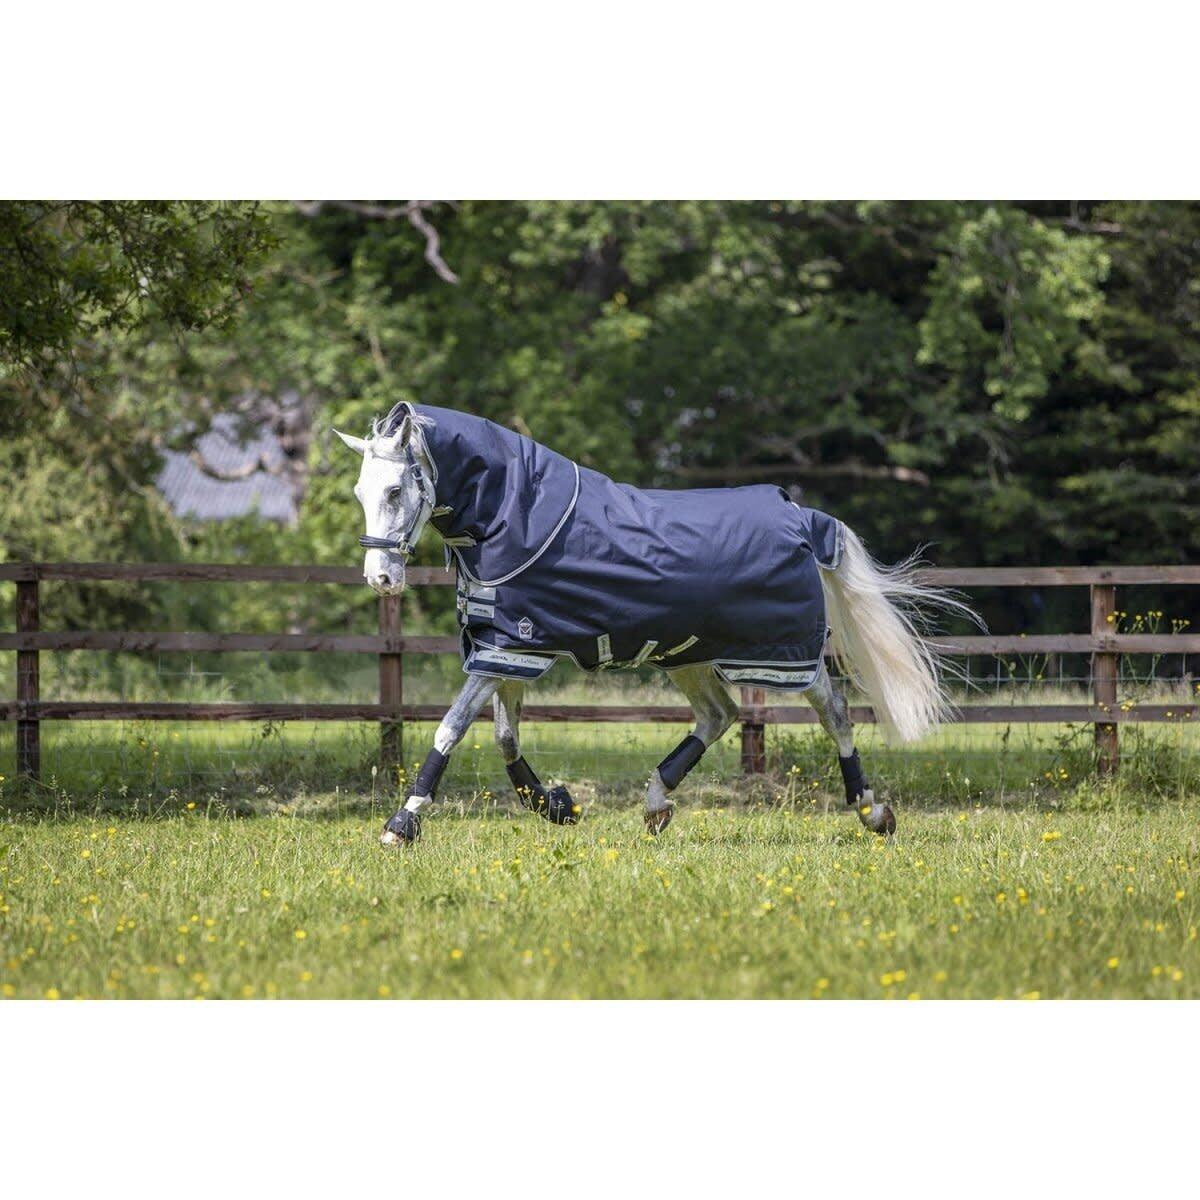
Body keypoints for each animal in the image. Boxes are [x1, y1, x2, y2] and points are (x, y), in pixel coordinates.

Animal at [336, 402, 972, 846]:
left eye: (395, 489)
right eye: (360, 492)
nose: (381, 579)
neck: (515, 516)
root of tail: (801, 514)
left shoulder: (512, 650)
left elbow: (450, 727)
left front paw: (402, 823)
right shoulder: (509, 648)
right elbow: (504, 735)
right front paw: (557, 806)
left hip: (779, 654)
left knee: (833, 710)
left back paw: (872, 810)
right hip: (686, 654)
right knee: (719, 716)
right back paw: (656, 804)